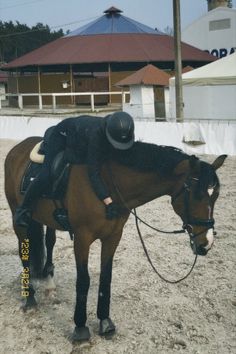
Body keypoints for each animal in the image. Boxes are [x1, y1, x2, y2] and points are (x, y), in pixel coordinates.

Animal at [4, 136, 226, 340]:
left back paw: (49, 280)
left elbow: (106, 277)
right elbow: (83, 280)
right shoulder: (82, 238)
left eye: (215, 195)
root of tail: (19, 148)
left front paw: (105, 322)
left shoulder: (113, 236)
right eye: (197, 195)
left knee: (49, 243)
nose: (206, 243)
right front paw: (80, 328)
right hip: (18, 217)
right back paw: (30, 298)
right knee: (24, 254)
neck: (105, 183)